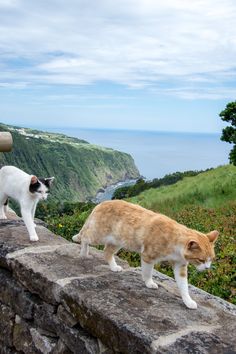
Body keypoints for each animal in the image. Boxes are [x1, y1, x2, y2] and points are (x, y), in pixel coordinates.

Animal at [72, 201, 219, 308]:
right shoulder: (148, 256)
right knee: (85, 237)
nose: (207, 268)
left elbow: (183, 286)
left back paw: (113, 267)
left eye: (211, 259)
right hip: (97, 235)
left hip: (118, 241)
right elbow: (148, 273)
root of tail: (101, 203)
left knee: (106, 252)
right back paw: (84, 253)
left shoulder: (180, 266)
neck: (174, 241)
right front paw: (149, 283)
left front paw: (188, 301)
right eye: (201, 260)